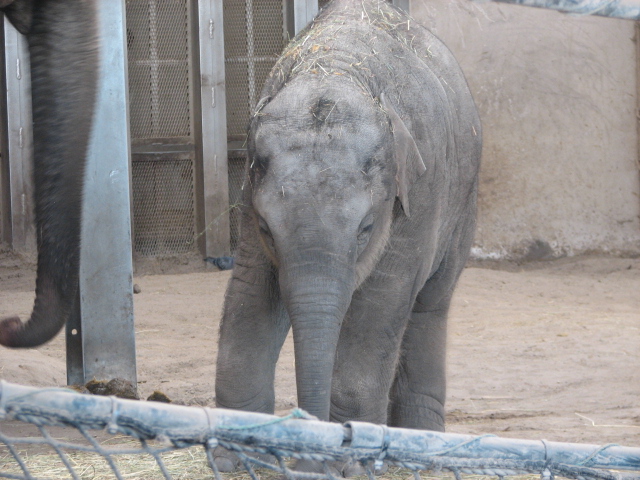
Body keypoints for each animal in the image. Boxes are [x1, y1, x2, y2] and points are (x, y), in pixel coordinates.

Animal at [215, 0, 481, 457]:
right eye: (266, 228)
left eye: (366, 228)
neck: (335, 70)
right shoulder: (250, 199)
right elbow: (251, 294)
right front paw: (233, 458)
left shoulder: (420, 191)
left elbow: (382, 302)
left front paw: (349, 458)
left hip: (464, 200)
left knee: (431, 304)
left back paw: (421, 446)